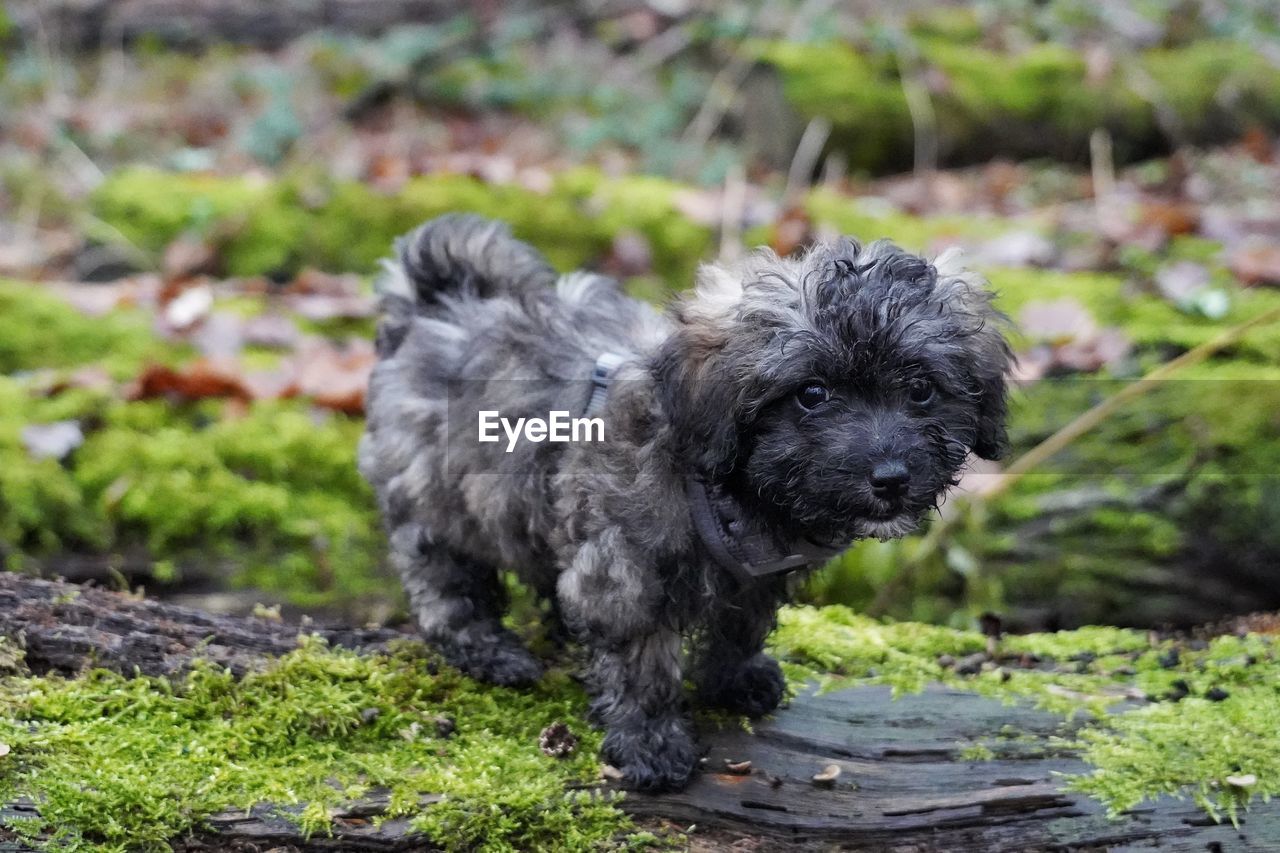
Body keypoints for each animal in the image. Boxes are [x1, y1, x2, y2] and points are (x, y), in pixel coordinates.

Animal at [358, 213, 1008, 788]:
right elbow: (643, 664)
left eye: (920, 389)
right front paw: (650, 744)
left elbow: (741, 628)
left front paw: (733, 682)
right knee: (446, 586)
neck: (739, 490)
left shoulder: (754, 578)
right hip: (433, 499)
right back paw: (491, 652)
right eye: (812, 393)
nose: (890, 477)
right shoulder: (625, 572)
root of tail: (435, 307)